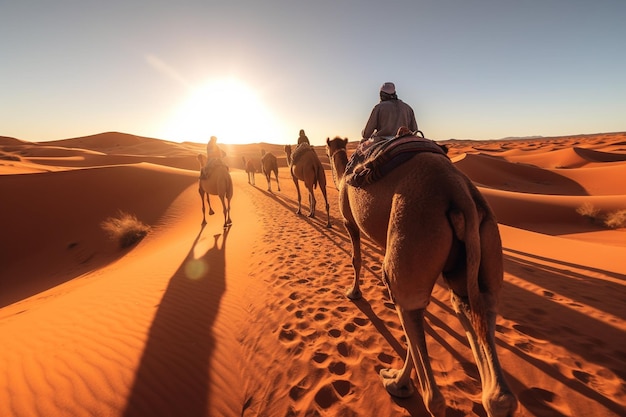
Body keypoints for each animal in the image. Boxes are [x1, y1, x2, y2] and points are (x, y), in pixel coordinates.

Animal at [324, 136, 516, 416]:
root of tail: (459, 193)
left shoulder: (350, 222)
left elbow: (356, 259)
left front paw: (353, 293)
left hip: (413, 229)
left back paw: (398, 384)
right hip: (484, 242)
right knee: (473, 307)